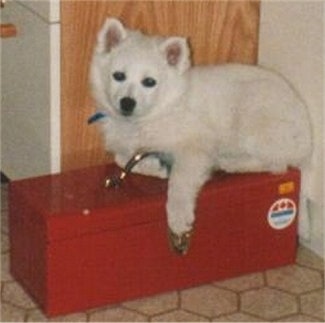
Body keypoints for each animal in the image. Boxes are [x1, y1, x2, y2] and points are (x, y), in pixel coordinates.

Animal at [88, 17, 312, 254]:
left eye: (149, 82)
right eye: (118, 76)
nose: (127, 103)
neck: (161, 108)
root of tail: (308, 140)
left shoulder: (196, 147)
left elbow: (179, 182)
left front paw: (178, 219)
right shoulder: (133, 146)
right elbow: (122, 159)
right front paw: (155, 168)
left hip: (251, 117)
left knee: (276, 164)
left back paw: (229, 162)